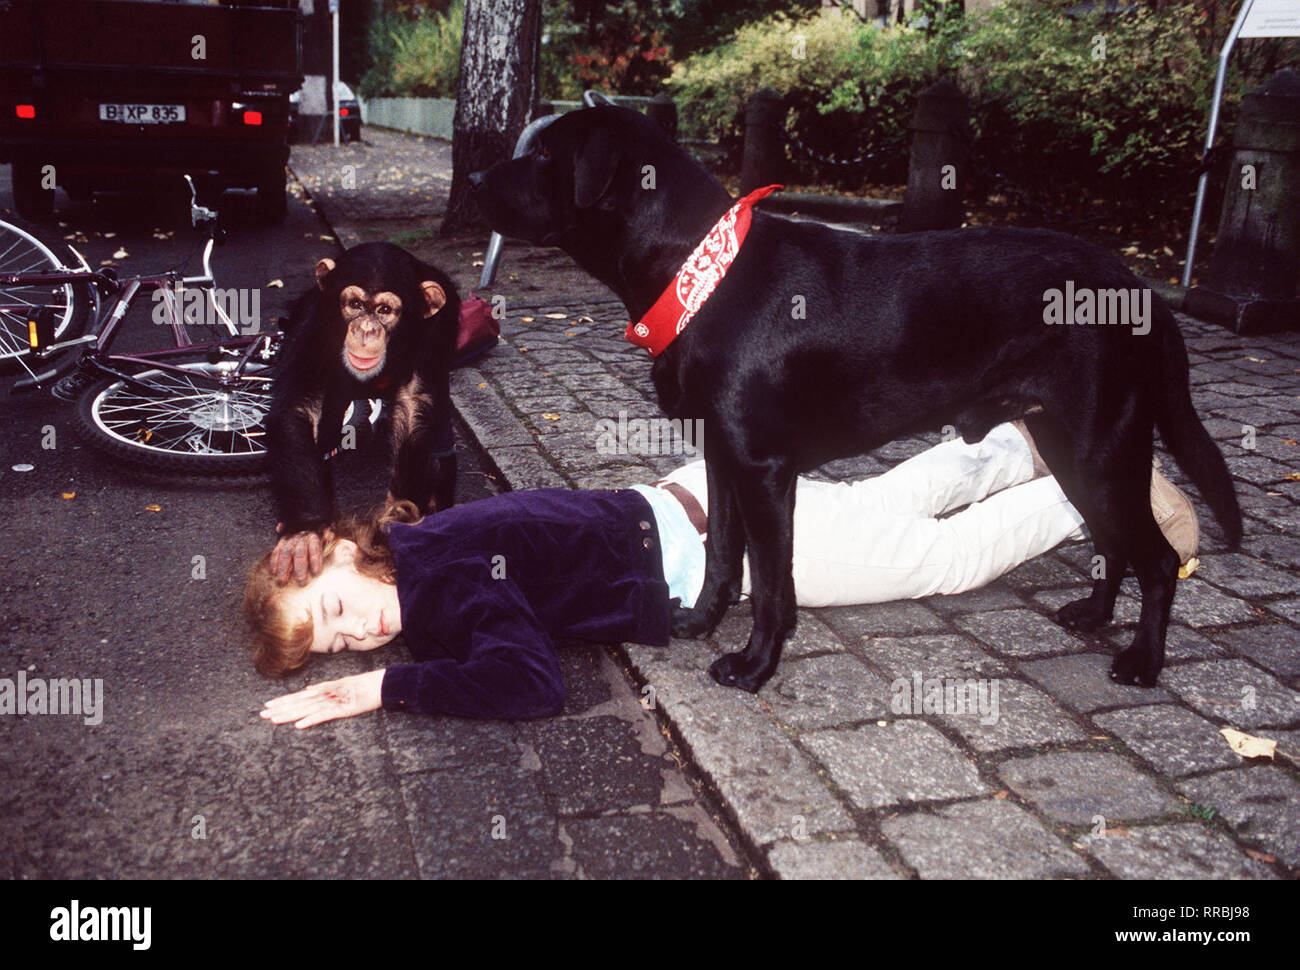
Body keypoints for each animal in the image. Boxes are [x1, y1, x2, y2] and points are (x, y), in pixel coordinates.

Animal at [266, 241, 460, 582]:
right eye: (355, 304)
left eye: (384, 311)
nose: (366, 329)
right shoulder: (312, 321)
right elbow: (298, 404)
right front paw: (304, 531)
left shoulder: (434, 331)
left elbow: (413, 403)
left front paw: (399, 518)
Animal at [473, 105, 1242, 691]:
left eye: (544, 154)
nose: (477, 175)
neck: (699, 274)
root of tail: (1137, 286)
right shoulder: (723, 457)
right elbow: (723, 557)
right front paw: (697, 622)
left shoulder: (764, 470)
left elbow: (770, 584)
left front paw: (754, 667)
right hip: (1067, 444)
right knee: (1112, 540)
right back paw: (1093, 615)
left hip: (1100, 446)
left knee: (1156, 559)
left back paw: (1142, 661)